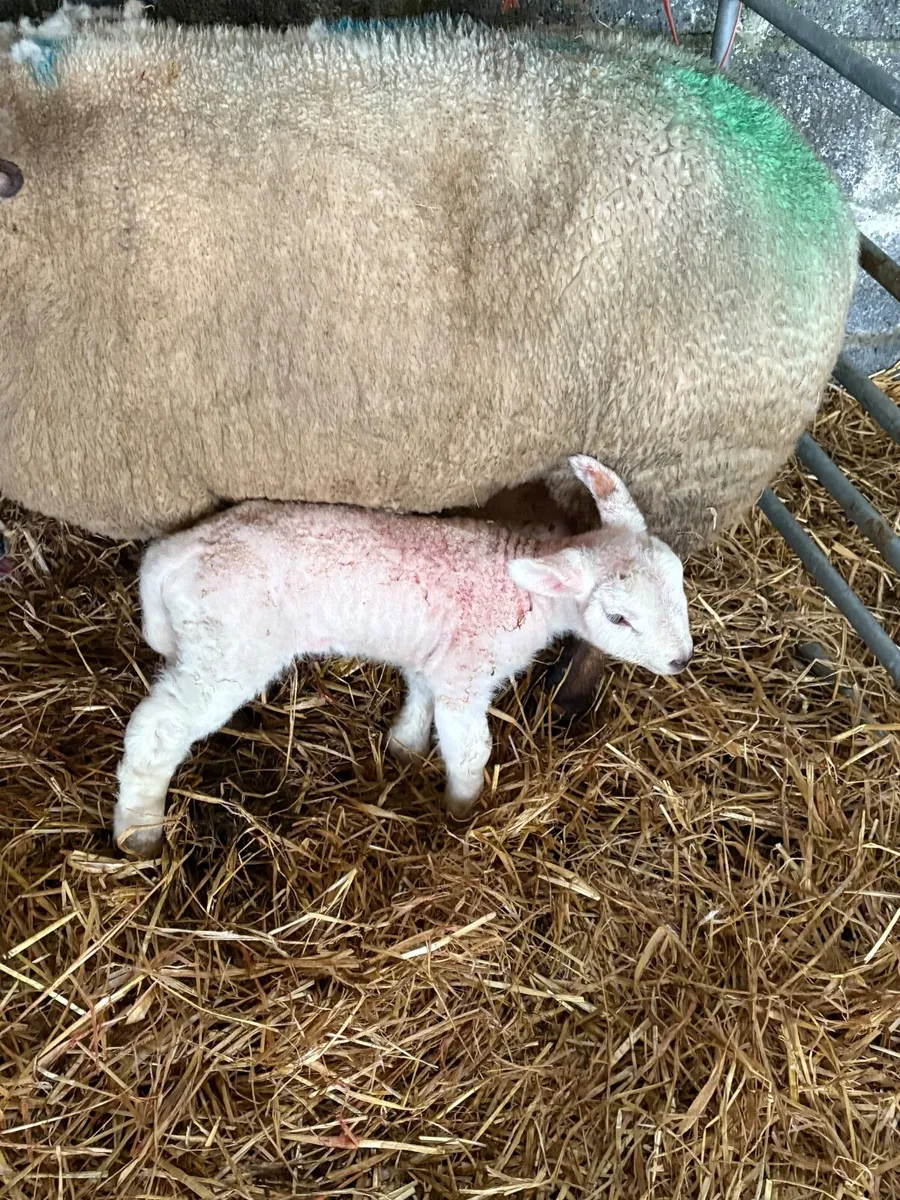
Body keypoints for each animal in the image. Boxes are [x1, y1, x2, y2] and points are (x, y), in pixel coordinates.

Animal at [114, 456, 692, 856]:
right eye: (618, 618)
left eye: (680, 580)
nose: (682, 660)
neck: (528, 590)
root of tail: (174, 553)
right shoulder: (465, 674)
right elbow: (468, 750)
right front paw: (461, 811)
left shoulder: (433, 656)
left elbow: (419, 700)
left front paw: (404, 749)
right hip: (229, 647)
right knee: (157, 729)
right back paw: (139, 831)